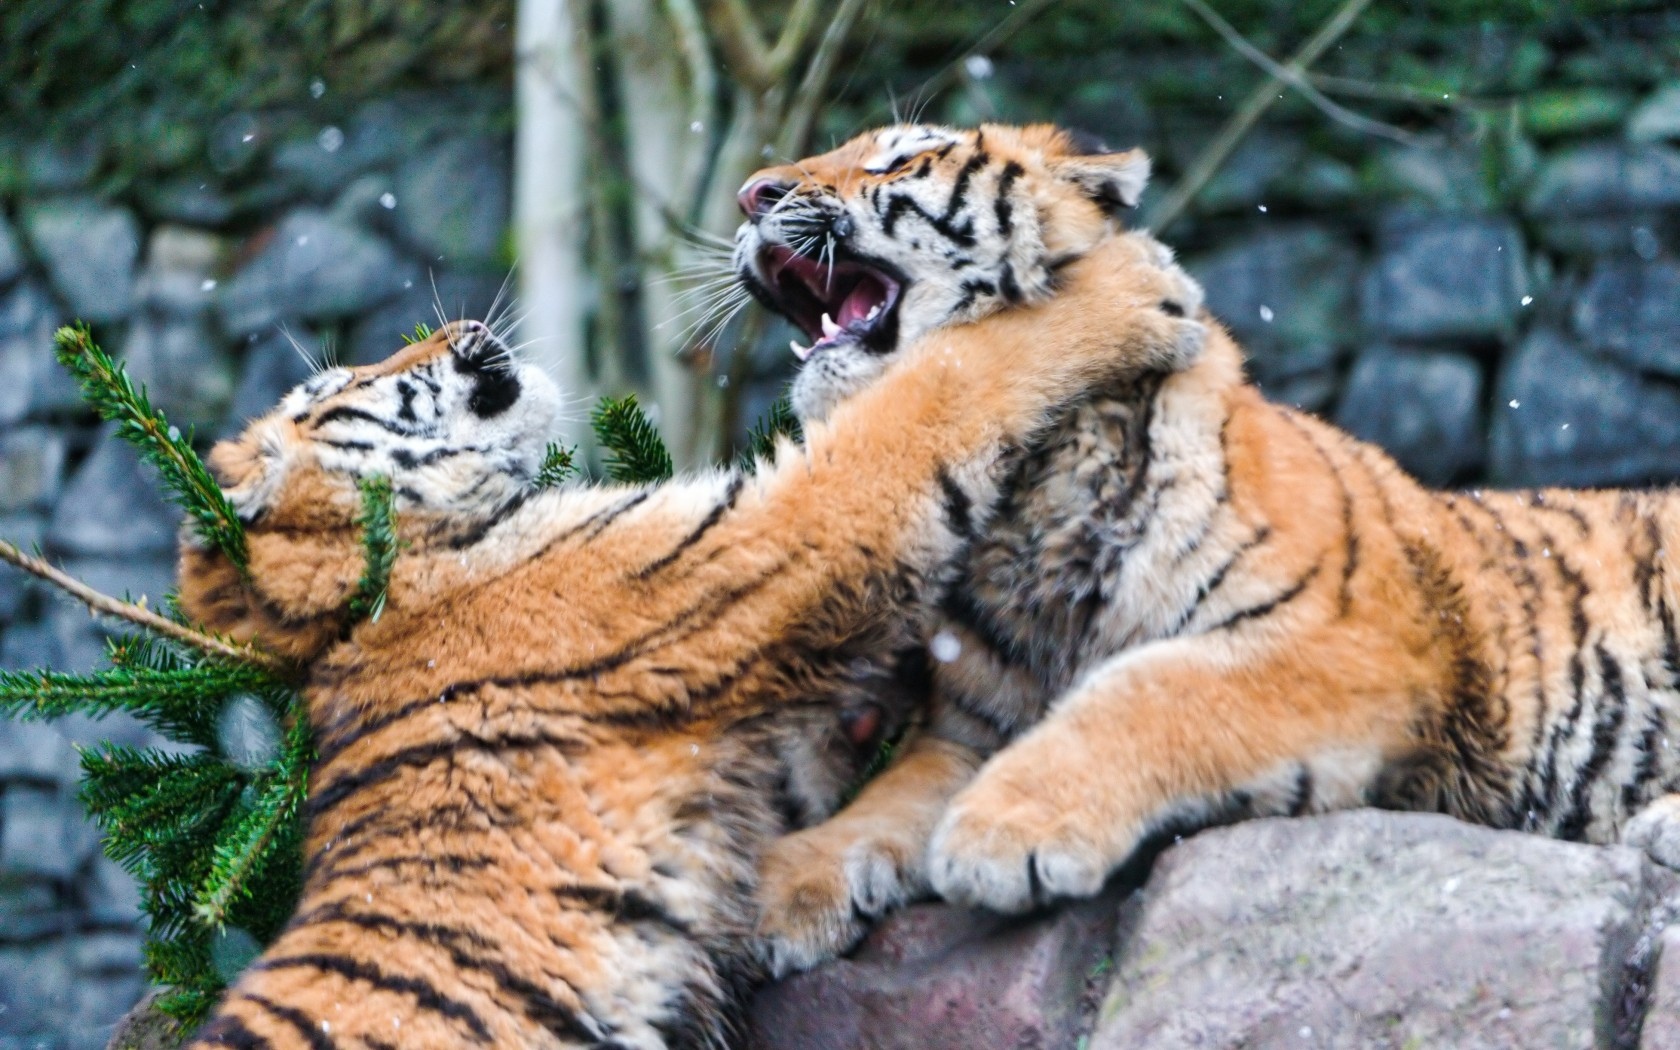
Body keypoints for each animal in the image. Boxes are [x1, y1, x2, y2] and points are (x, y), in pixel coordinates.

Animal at [171, 237, 1209, 1048]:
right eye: (350, 381)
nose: (458, 322)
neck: (380, 580)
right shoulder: (770, 539)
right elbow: (938, 389)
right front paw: (1127, 281)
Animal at [734, 121, 1680, 977]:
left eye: (898, 158)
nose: (752, 195)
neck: (1028, 501)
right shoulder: (970, 728)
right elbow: (885, 799)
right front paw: (783, 892)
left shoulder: (1348, 645)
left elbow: (1148, 691)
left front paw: (1006, 832)